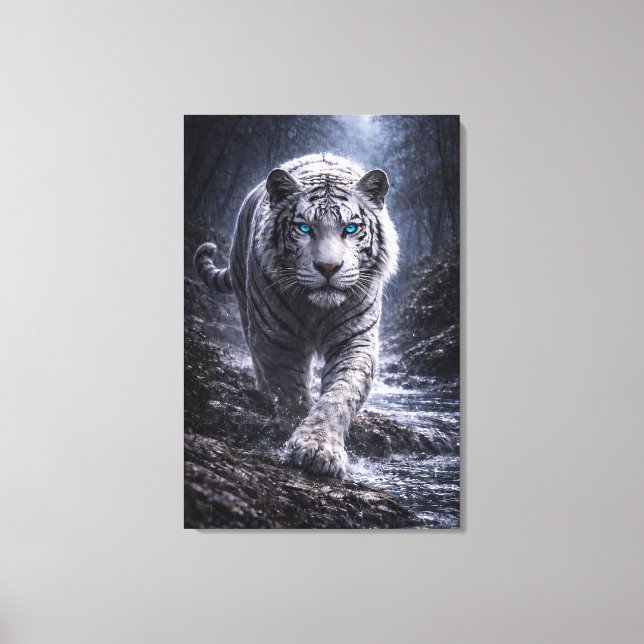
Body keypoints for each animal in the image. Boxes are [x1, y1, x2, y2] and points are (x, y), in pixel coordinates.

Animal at [194, 153, 399, 478]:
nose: (328, 267)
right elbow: (290, 392)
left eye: (350, 229)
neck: (316, 308)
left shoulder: (355, 339)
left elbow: (339, 395)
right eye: (304, 229)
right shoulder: (278, 339)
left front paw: (319, 448)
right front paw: (295, 439)